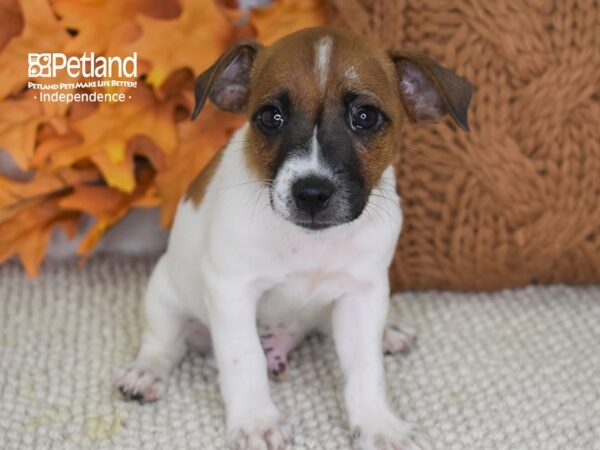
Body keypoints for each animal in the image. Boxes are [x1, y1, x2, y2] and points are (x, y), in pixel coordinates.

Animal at [116, 27, 474, 450]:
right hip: (164, 295)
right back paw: (146, 372)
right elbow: (243, 358)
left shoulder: (363, 294)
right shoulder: (232, 291)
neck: (309, 243)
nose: (312, 193)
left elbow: (365, 369)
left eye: (366, 117)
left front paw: (377, 424)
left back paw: (388, 333)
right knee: (164, 343)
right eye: (271, 117)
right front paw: (255, 421)